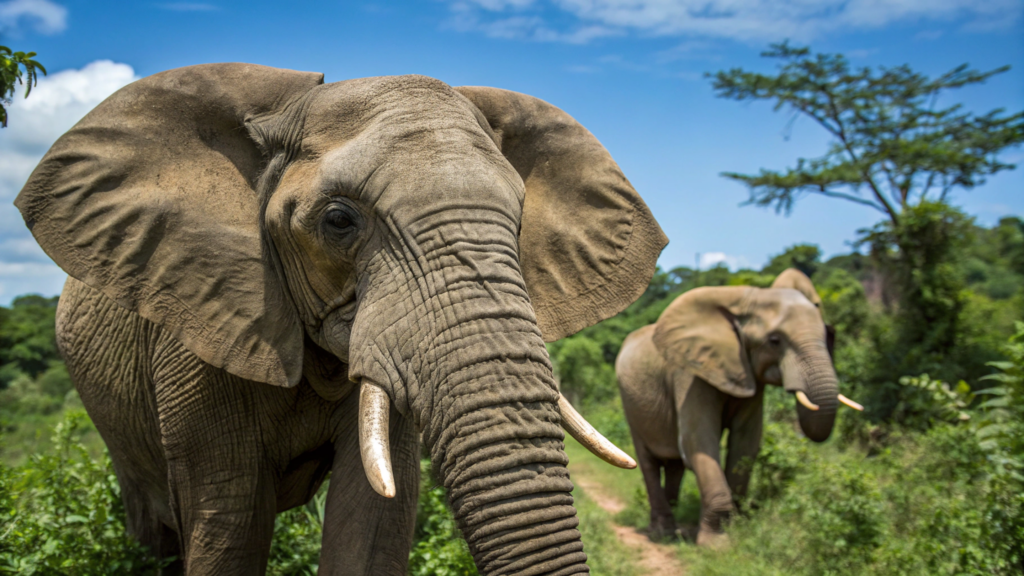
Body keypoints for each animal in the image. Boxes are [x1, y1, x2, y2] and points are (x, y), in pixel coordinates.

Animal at [614, 269, 862, 546]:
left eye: (828, 334)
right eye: (775, 340)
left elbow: (745, 444)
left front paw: (737, 528)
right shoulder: (690, 373)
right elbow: (698, 442)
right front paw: (717, 545)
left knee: (675, 463)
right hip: (630, 406)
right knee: (649, 462)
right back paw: (662, 533)